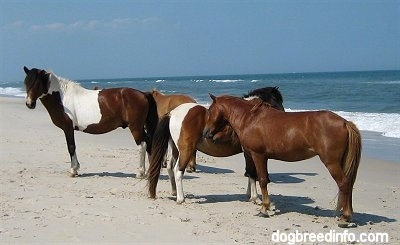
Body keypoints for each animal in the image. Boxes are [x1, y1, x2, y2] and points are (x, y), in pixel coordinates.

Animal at [22, 66, 158, 177]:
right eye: (26, 82)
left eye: (36, 83)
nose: (29, 104)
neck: (62, 98)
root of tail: (144, 94)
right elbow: (72, 147)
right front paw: (76, 168)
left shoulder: (68, 128)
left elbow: (71, 147)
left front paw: (73, 170)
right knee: (149, 143)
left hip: (135, 127)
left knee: (142, 145)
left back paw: (140, 172)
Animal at [148, 87, 284, 204]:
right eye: (276, 101)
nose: (282, 114)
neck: (247, 117)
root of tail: (173, 113)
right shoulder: (249, 152)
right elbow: (252, 173)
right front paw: (255, 198)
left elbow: (250, 173)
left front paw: (249, 194)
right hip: (186, 150)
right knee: (178, 170)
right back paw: (181, 199)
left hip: (176, 150)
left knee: (170, 167)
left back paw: (175, 192)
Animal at [203, 94, 362, 227]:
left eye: (210, 110)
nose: (206, 133)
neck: (250, 118)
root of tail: (345, 122)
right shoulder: (262, 157)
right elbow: (263, 179)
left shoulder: (258, 155)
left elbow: (262, 180)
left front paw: (264, 209)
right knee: (348, 184)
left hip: (332, 163)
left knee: (344, 183)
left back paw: (345, 218)